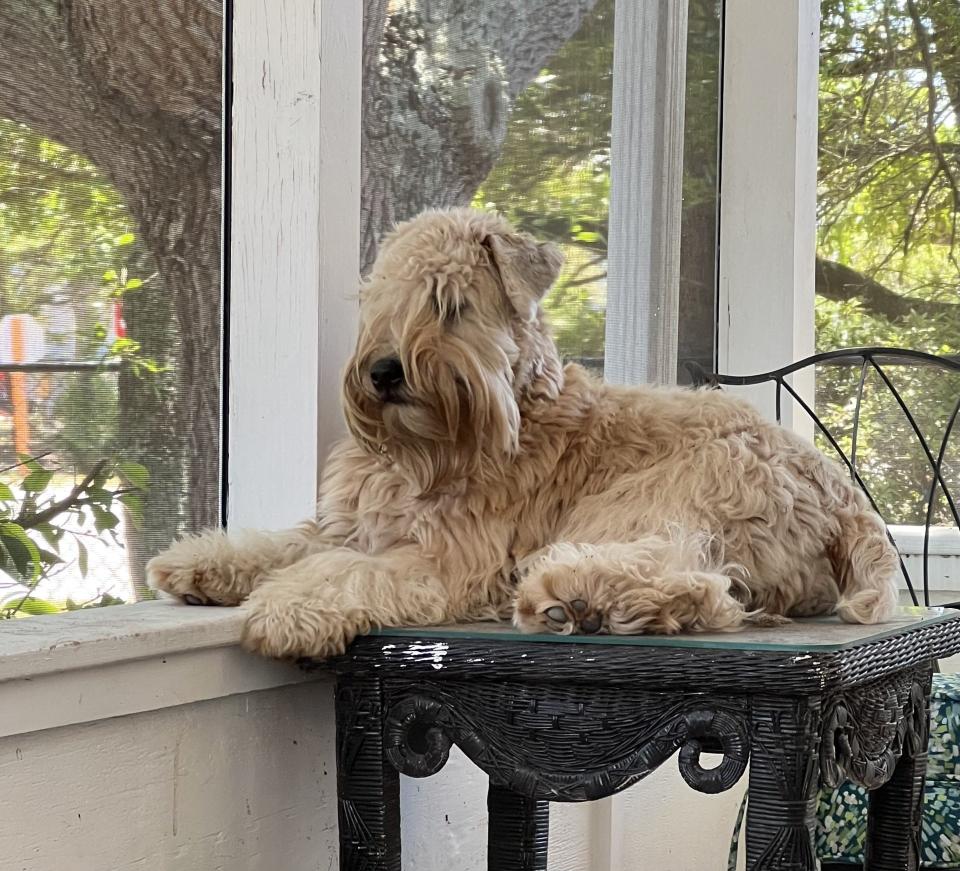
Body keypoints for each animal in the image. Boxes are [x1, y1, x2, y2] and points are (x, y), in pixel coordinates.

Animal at [144, 208, 900, 660]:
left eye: (449, 303)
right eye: (380, 300)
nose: (384, 370)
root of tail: (841, 493)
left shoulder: (445, 557)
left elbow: (344, 573)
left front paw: (288, 609)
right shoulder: (348, 526)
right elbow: (284, 544)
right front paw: (199, 563)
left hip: (657, 496)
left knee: (694, 582)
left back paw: (583, 599)